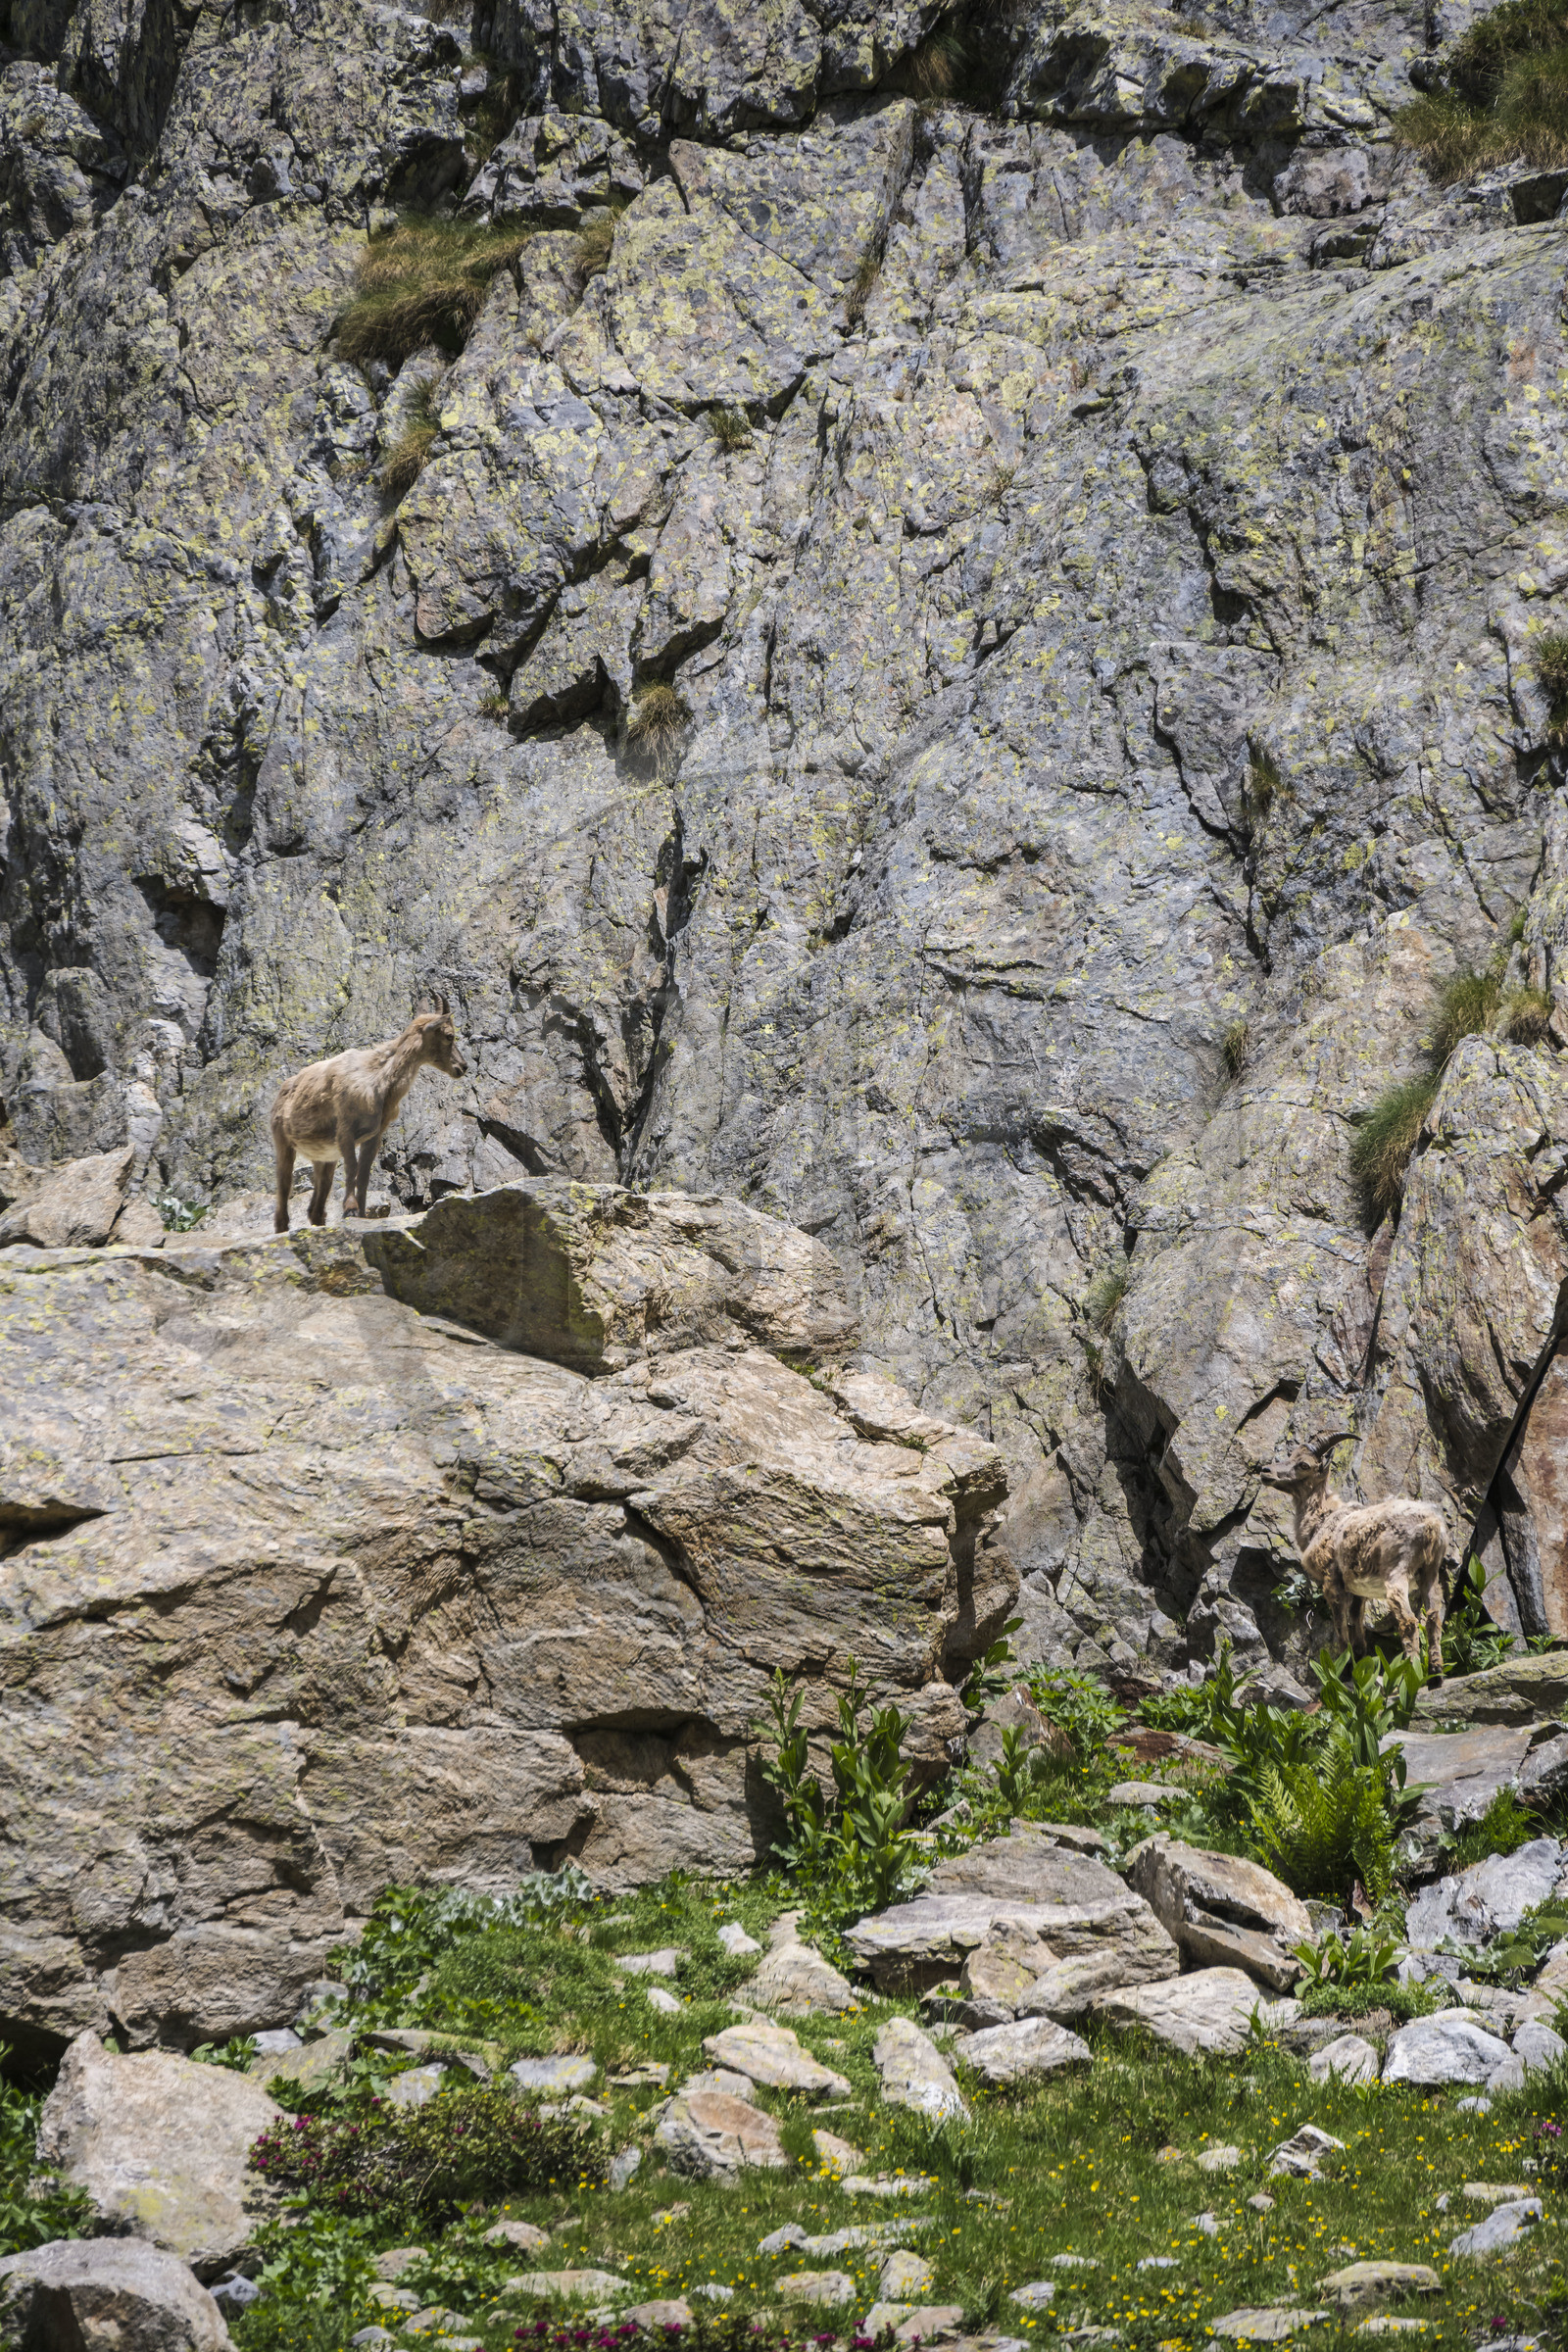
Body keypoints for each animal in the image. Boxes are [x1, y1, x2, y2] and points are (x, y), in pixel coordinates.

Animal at [270, 998, 467, 1233]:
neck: (376, 1081)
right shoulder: (345, 1128)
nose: (463, 1067)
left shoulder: (374, 1134)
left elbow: (363, 1175)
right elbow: (352, 1167)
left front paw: (362, 1214)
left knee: (315, 1208)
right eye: (449, 1035)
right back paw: (282, 1228)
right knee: (283, 1192)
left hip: (324, 1157)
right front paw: (350, 1208)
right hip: (283, 1143)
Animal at [1259, 1433, 1448, 1679]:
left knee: (1408, 1621)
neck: (1322, 1520)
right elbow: (1357, 1620)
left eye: (1304, 1465)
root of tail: (1431, 1526)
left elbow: (1340, 1625)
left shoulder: (1332, 1580)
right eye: (1291, 1456)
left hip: (1396, 1570)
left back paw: (1411, 1674)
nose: (1266, 1471)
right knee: (1434, 1616)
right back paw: (1436, 1672)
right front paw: (1361, 1658)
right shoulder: (1358, 1589)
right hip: (1430, 1572)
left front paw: (1344, 1670)